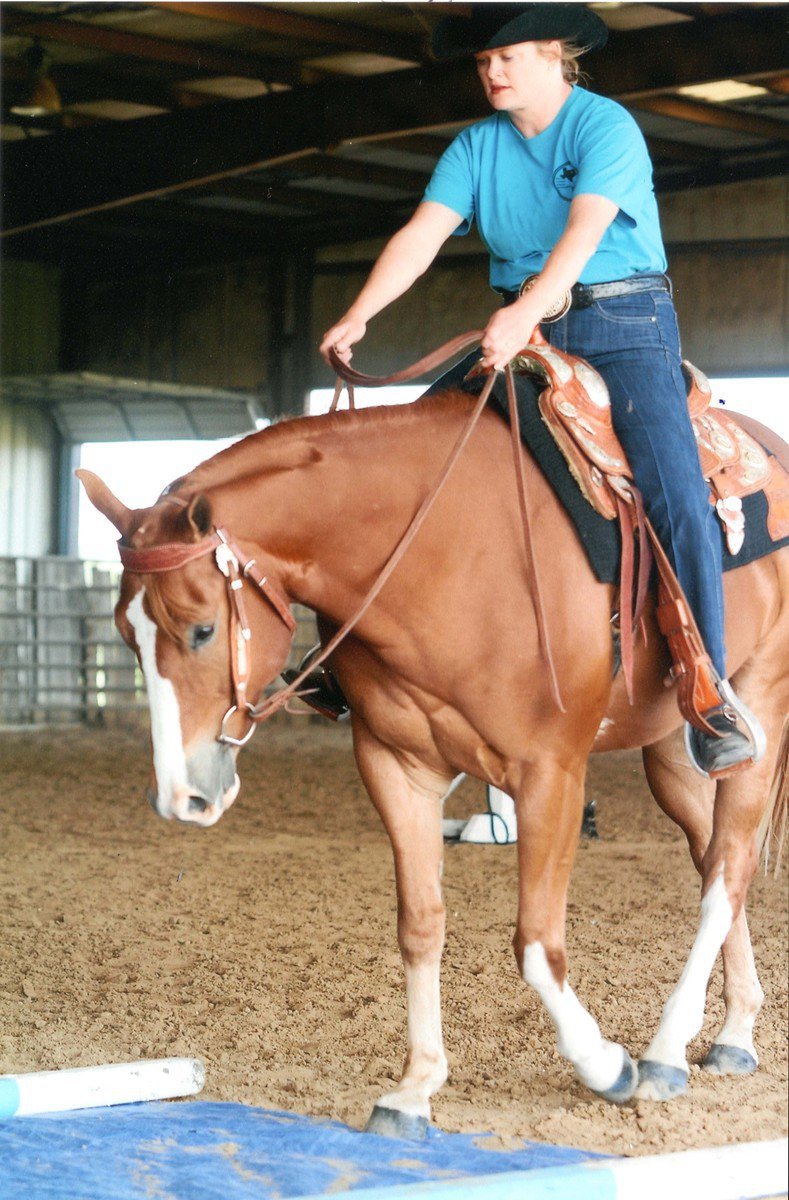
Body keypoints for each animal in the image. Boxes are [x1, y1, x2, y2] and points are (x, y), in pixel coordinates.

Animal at [78, 366, 788, 1136]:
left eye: (203, 629)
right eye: (126, 632)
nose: (182, 797)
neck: (441, 551)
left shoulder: (550, 776)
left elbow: (536, 942)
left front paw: (605, 1065)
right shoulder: (396, 767)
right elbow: (419, 925)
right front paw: (415, 1087)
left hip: (759, 704)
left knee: (727, 866)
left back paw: (661, 1055)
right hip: (673, 754)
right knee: (715, 859)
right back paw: (733, 1033)